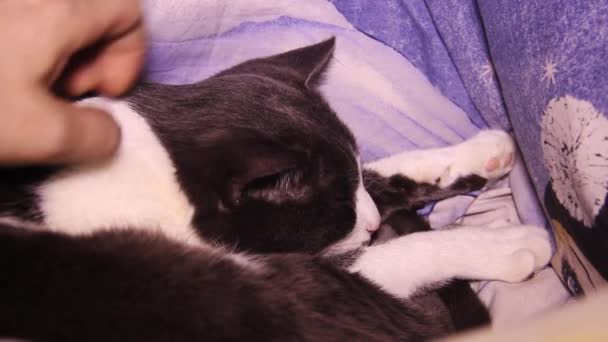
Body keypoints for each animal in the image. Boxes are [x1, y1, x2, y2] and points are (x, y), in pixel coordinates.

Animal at [0, 38, 552, 342]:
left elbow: (383, 175)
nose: (373, 223)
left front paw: (478, 153)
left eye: (350, 188)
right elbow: (397, 258)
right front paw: (509, 244)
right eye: (334, 206)